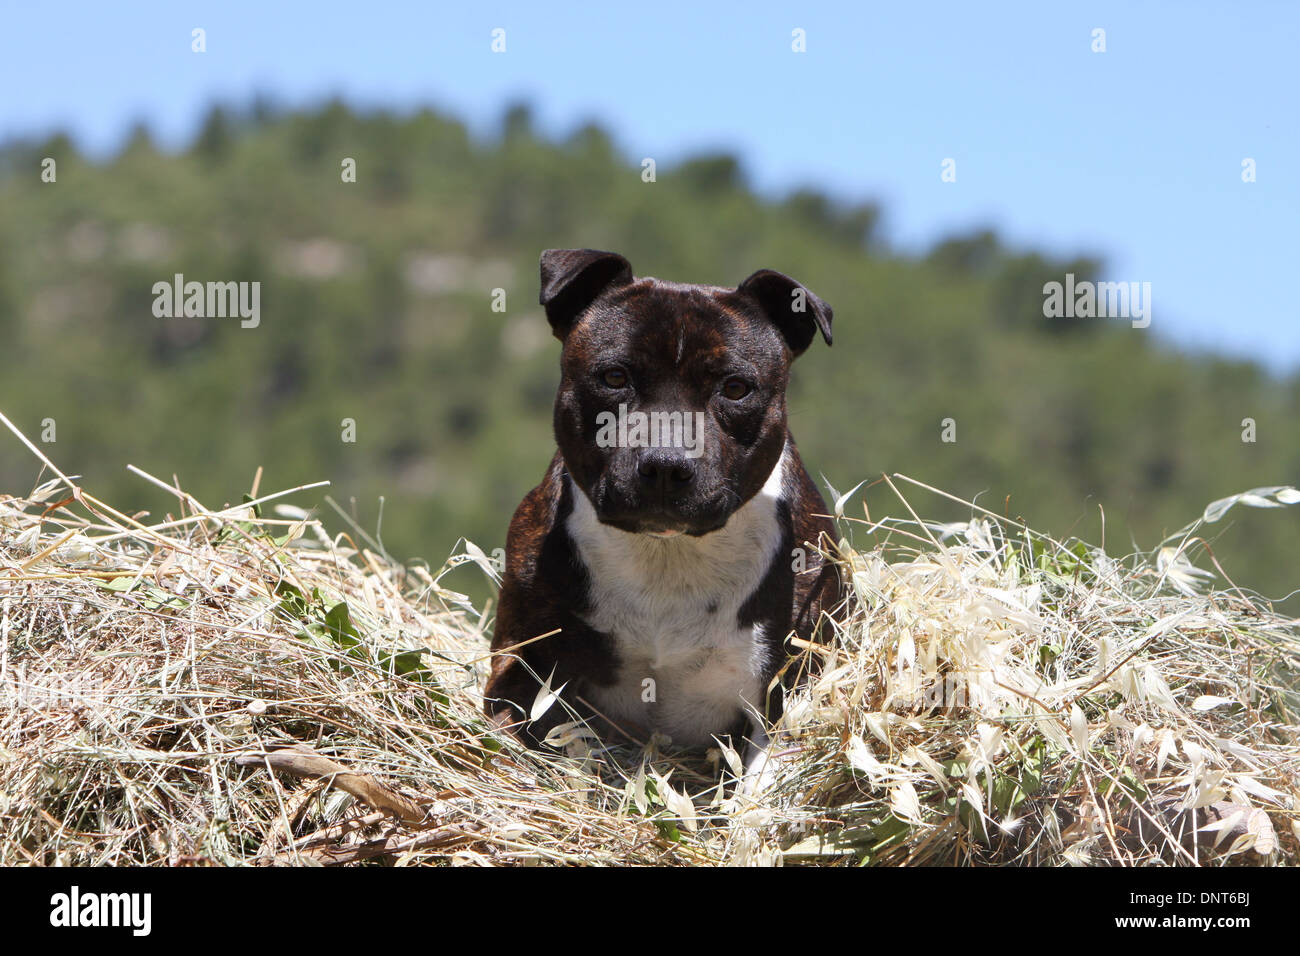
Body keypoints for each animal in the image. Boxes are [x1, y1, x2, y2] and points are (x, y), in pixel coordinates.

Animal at [486, 248, 842, 785]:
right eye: (614, 377)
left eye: (736, 388)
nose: (667, 463)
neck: (668, 554)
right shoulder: (526, 662)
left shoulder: (785, 692)